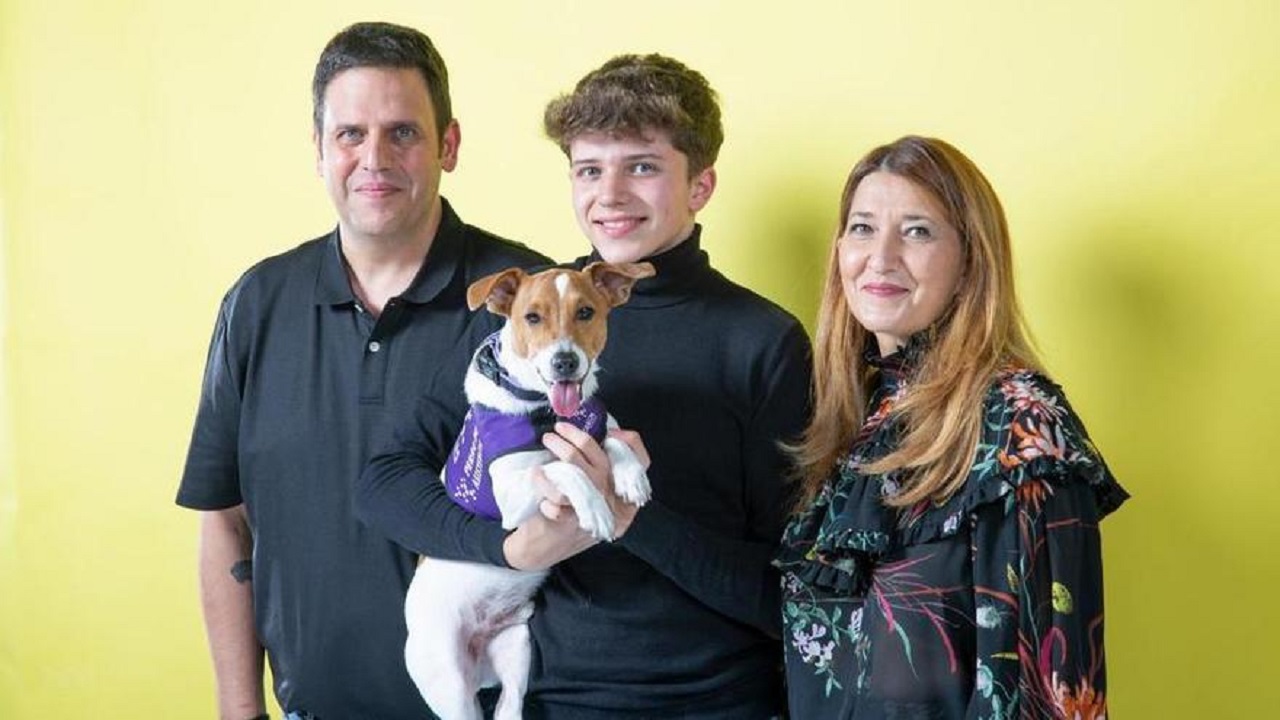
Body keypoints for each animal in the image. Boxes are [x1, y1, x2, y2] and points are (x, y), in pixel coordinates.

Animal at [404, 260, 655, 717]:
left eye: (586, 312)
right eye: (532, 317)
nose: (565, 362)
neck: (547, 412)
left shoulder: (592, 424)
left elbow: (610, 437)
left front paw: (630, 474)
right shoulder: (511, 498)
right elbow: (560, 467)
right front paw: (595, 507)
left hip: (516, 648)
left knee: (509, 706)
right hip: (450, 685)